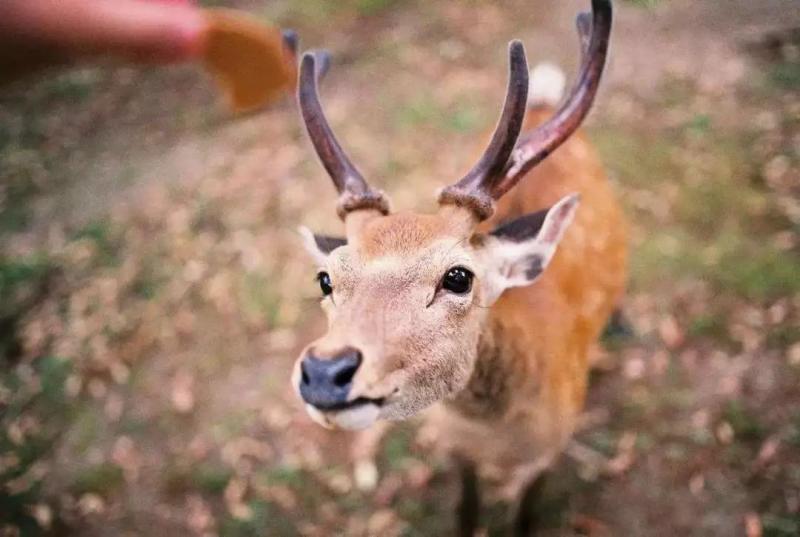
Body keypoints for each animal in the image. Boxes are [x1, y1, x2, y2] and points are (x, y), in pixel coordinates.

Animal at [290, 0, 626, 533]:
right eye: (325, 278)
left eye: (458, 277)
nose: (324, 372)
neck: (498, 439)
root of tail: (543, 102)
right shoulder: (453, 447)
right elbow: (465, 509)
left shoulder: (550, 452)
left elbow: (526, 517)